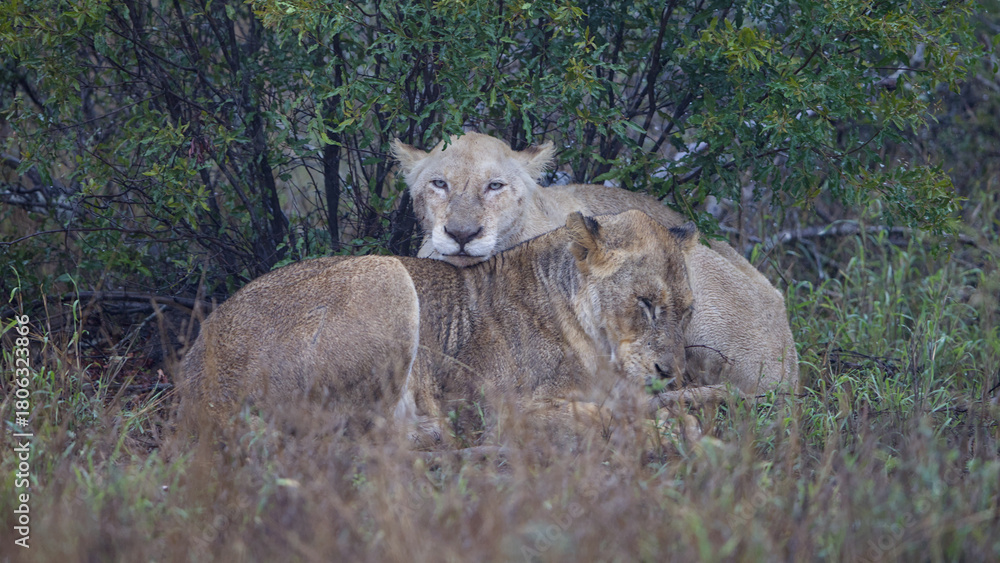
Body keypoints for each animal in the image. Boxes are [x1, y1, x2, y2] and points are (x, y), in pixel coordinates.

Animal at [178, 210, 699, 446]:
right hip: (386, 275)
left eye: (688, 311)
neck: (600, 349)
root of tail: (189, 386)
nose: (670, 373)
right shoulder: (501, 406)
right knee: (354, 430)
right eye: (646, 303)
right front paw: (654, 428)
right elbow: (595, 416)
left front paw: (678, 421)